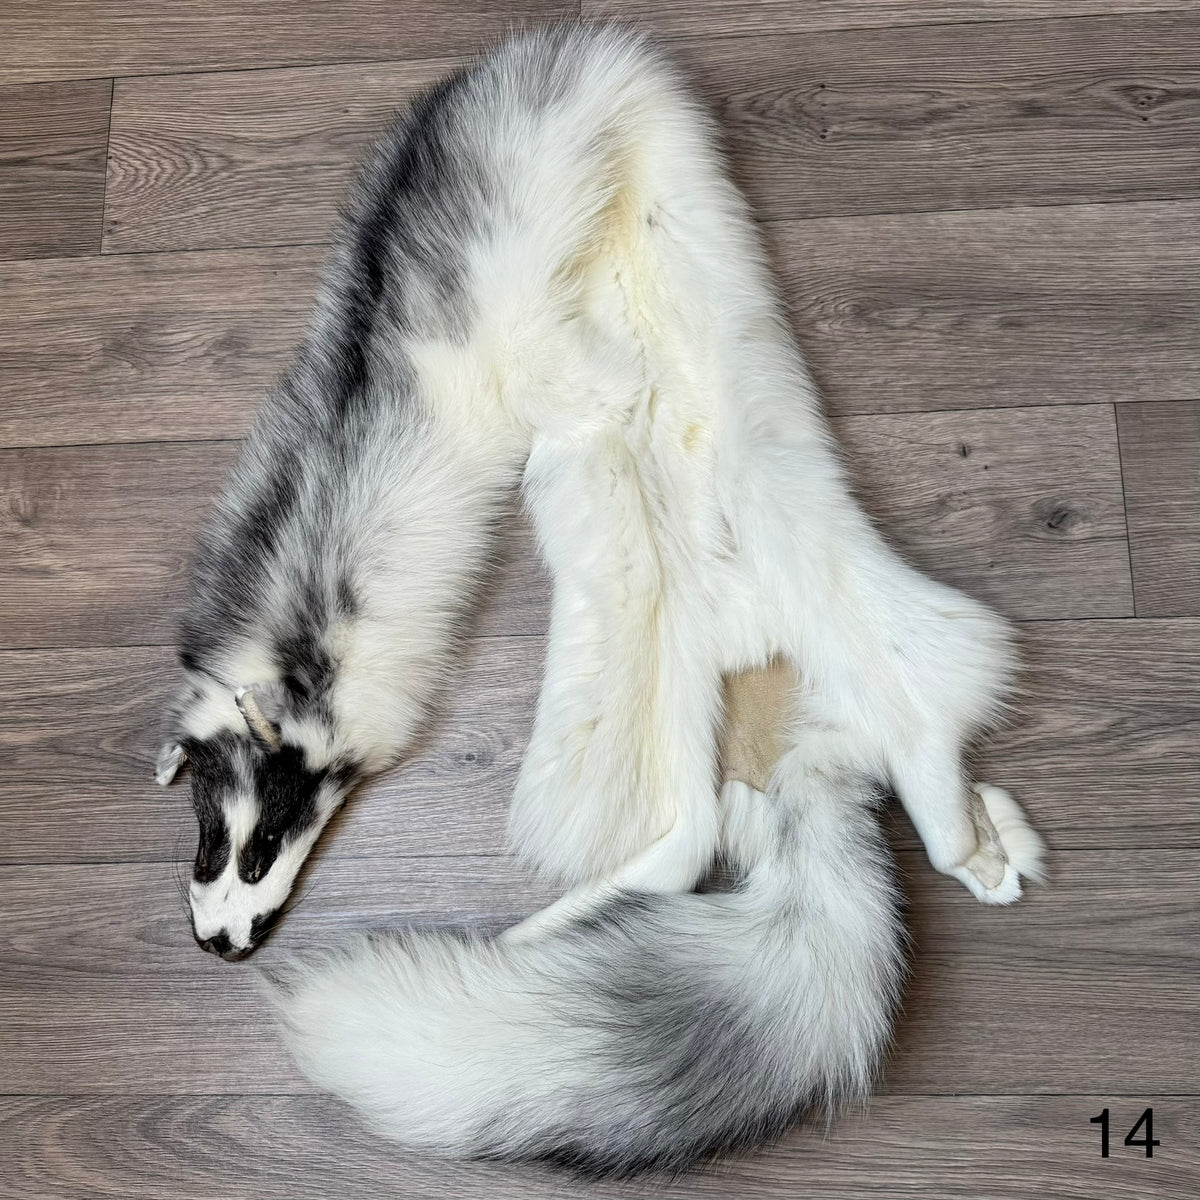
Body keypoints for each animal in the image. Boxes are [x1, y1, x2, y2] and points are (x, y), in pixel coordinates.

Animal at [158, 25, 1045, 1175]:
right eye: (208, 846)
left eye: (261, 846)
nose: (218, 944)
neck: (308, 601)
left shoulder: (513, 344)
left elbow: (575, 371)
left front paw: (611, 379)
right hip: (688, 711)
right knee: (690, 841)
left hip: (814, 570)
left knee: (911, 709)